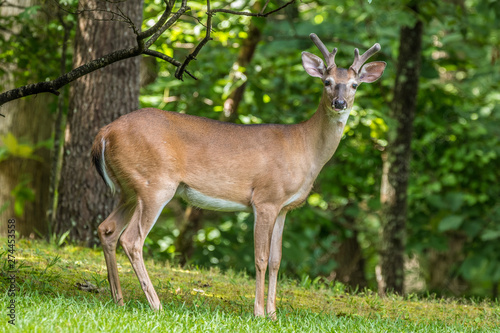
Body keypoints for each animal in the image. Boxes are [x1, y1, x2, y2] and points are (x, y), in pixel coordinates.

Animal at [91, 33, 386, 316]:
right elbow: (261, 258)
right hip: (155, 184)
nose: (339, 103)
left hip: (130, 189)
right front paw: (258, 312)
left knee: (107, 229)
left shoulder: (284, 208)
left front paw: (273, 313)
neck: (305, 148)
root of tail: (104, 133)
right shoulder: (266, 198)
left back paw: (118, 299)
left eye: (354, 84)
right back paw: (156, 305)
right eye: (327, 81)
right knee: (131, 239)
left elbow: (277, 260)